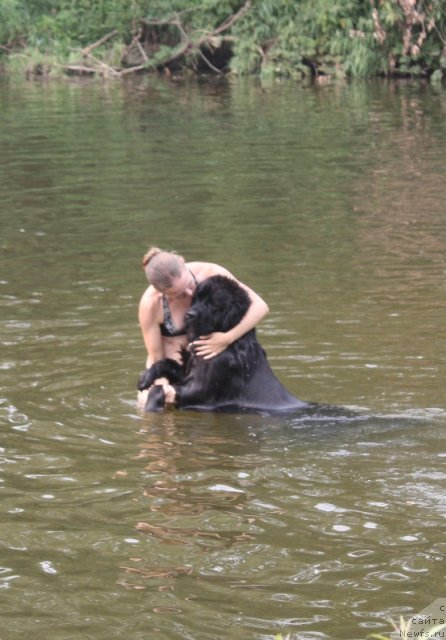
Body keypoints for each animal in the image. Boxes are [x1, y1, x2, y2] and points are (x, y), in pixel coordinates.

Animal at [137, 276, 310, 416]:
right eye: (197, 298)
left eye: (214, 304)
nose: (189, 315)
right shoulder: (187, 374)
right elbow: (166, 363)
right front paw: (146, 377)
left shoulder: (199, 392)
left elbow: (158, 389)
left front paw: (151, 407)